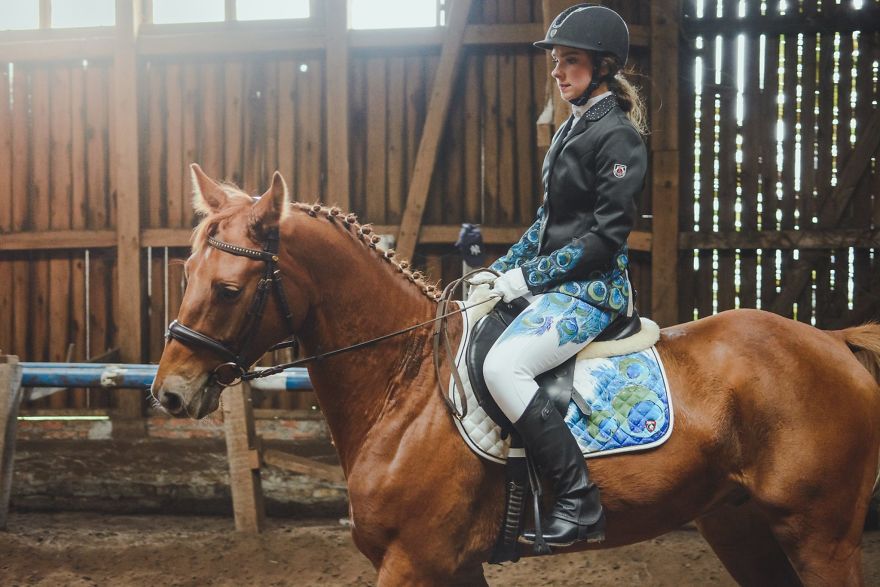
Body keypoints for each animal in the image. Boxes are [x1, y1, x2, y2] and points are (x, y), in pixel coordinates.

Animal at [152, 165, 880, 586]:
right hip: (741, 525)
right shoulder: (451, 565)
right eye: (184, 273)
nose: (170, 393)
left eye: (227, 289)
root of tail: (833, 341)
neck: (406, 388)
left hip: (820, 534)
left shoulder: (412, 561)